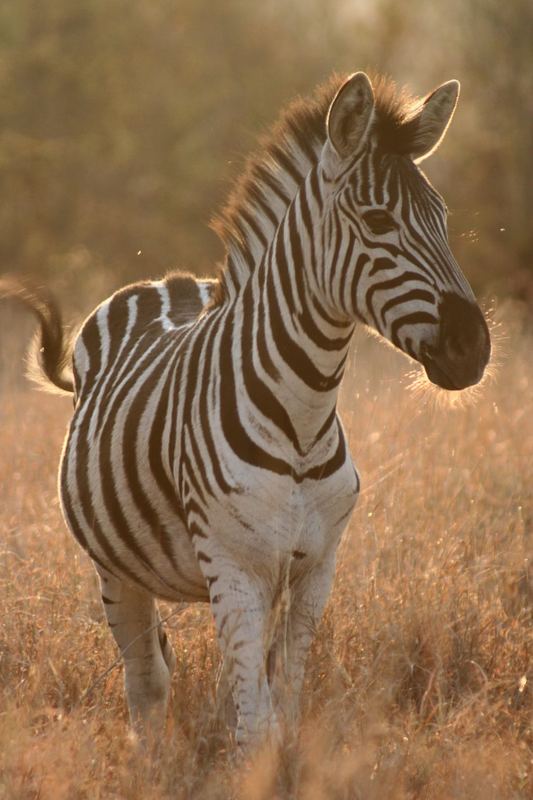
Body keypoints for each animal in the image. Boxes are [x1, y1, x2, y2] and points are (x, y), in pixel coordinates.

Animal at [1, 72, 490, 748]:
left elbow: (282, 708)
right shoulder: (235, 569)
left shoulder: (314, 572)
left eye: (442, 218)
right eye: (377, 220)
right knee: (146, 683)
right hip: (114, 569)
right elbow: (255, 725)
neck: (303, 419)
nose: (476, 348)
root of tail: (167, 280)